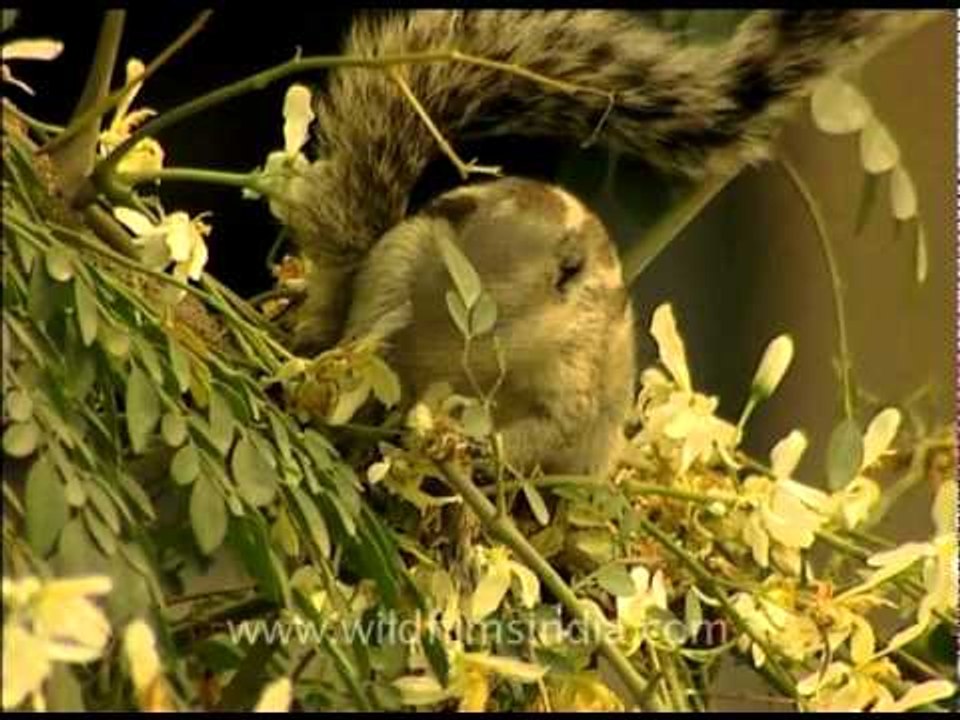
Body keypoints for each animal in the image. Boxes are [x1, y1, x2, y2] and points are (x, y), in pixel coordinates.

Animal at [279, 10, 921, 475]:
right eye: (466, 207)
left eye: (568, 276)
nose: (576, 268)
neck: (493, 334)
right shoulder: (403, 260)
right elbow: (372, 324)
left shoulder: (571, 382)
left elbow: (545, 430)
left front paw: (472, 445)